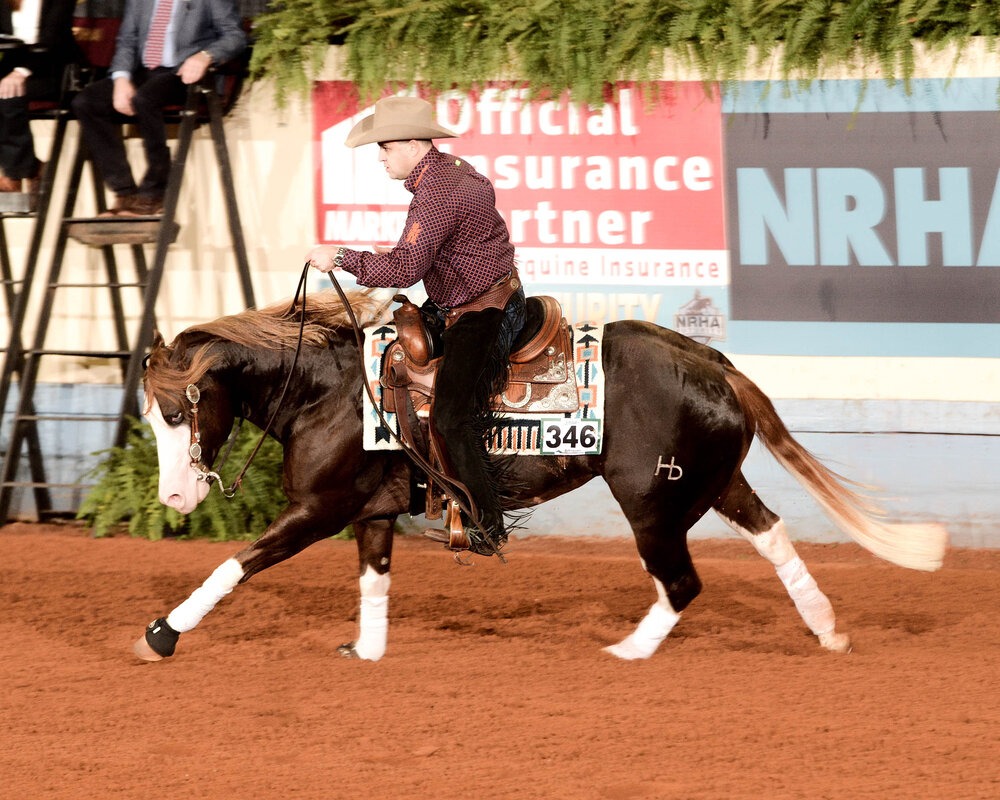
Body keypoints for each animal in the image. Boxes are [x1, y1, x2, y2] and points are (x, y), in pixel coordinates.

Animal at [133, 290, 944, 664]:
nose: (174, 496)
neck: (330, 389)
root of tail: (713, 361)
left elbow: (238, 563)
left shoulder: (319, 509)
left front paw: (162, 634)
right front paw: (365, 651)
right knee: (771, 537)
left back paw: (628, 653)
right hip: (713, 484)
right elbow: (373, 582)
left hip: (652, 501)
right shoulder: (371, 513)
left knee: (681, 582)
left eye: (178, 412)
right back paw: (827, 629)